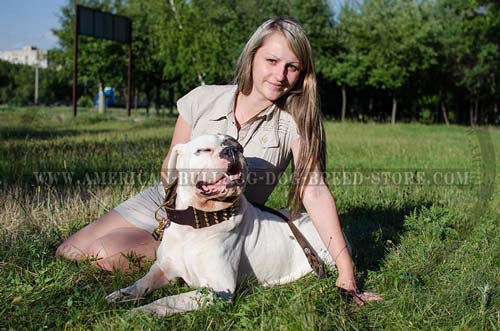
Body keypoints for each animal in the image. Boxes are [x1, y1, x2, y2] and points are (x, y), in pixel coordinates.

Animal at [106, 134, 334, 316]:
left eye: (239, 147)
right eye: (203, 150)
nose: (233, 150)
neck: (196, 222)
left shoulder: (218, 290)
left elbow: (167, 300)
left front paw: (140, 312)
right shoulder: (163, 268)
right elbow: (142, 282)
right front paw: (121, 295)